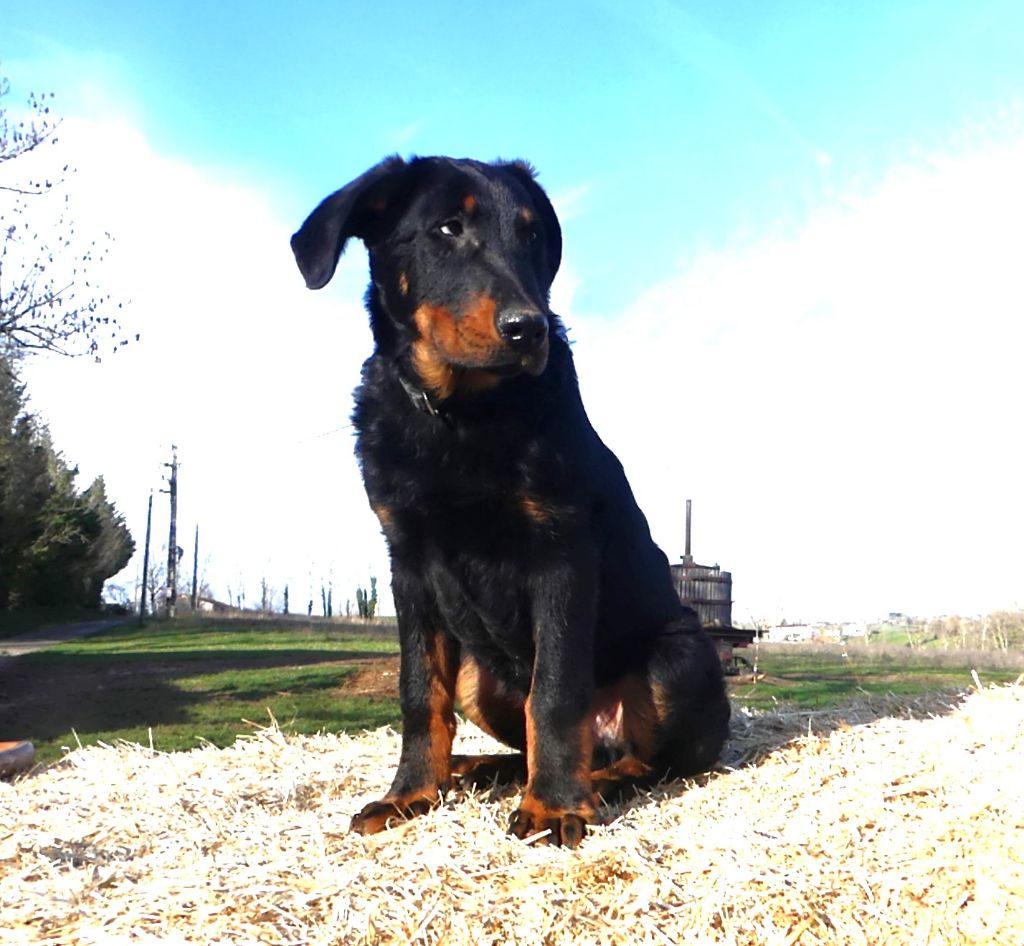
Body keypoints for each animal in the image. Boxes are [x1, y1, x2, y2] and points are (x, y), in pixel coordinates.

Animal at [291, 156, 730, 847]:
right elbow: (421, 693)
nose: (530, 329)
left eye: (531, 236)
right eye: (448, 227)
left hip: (678, 657)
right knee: (520, 736)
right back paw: (475, 768)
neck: (462, 415)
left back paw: (592, 783)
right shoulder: (406, 561)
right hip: (480, 675)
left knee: (646, 759)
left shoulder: (561, 553)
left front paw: (552, 807)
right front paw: (408, 794)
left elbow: (553, 692)